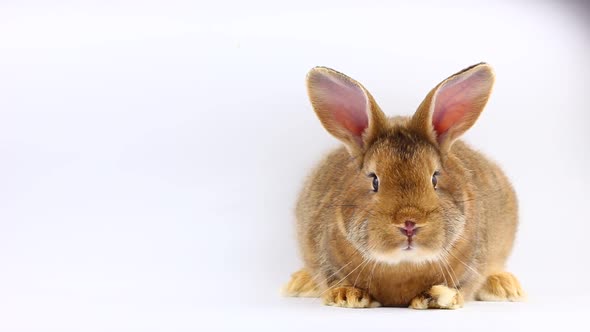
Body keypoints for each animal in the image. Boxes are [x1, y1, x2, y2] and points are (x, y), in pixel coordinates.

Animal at [284, 63, 524, 308]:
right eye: (374, 180)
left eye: (435, 178)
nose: (409, 224)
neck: (403, 264)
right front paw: (346, 296)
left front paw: (436, 297)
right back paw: (300, 284)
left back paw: (505, 287)